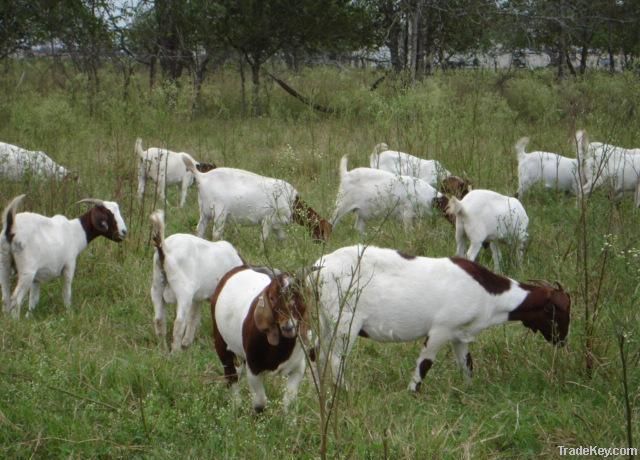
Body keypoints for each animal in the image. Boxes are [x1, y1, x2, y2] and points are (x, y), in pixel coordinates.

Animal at [150, 211, 245, 352]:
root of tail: (165, 249)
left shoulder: (198, 298)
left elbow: (194, 317)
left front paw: (187, 342)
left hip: (157, 286)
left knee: (159, 320)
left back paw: (163, 350)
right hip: (183, 292)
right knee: (179, 322)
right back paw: (175, 352)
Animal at [180, 156, 330, 243]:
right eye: (323, 232)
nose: (324, 245)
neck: (292, 201)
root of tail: (201, 177)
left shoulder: (276, 224)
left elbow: (282, 238)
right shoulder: (267, 219)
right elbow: (264, 239)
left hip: (204, 212)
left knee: (199, 230)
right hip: (219, 211)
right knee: (216, 234)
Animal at [211, 266, 308, 414]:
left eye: (300, 297)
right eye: (272, 298)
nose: (288, 326)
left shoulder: (298, 367)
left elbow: (289, 401)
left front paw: (288, 419)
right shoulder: (254, 367)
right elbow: (260, 403)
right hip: (220, 340)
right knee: (231, 374)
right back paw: (236, 406)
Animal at [310, 246, 568, 394]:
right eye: (556, 312)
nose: (562, 341)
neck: (489, 293)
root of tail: (317, 268)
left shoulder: (460, 335)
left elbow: (467, 364)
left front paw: (469, 390)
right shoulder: (441, 329)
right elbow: (425, 363)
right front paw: (412, 392)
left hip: (325, 318)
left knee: (318, 352)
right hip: (345, 320)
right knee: (335, 358)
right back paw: (345, 391)